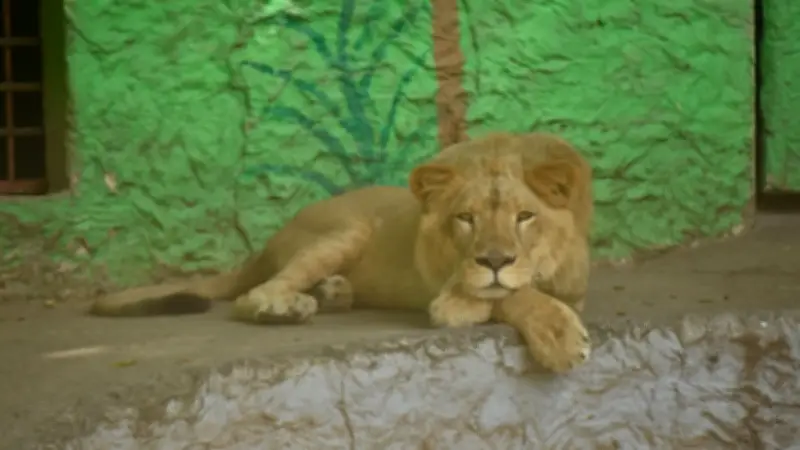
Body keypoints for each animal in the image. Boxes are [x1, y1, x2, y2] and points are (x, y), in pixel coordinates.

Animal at [90, 132, 594, 373]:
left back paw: (333, 293)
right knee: (253, 294)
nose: (493, 260)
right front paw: (557, 337)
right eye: (465, 218)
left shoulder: (573, 286)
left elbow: (520, 290)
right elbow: (510, 295)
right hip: (347, 230)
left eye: (524, 216)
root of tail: (273, 236)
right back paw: (289, 306)